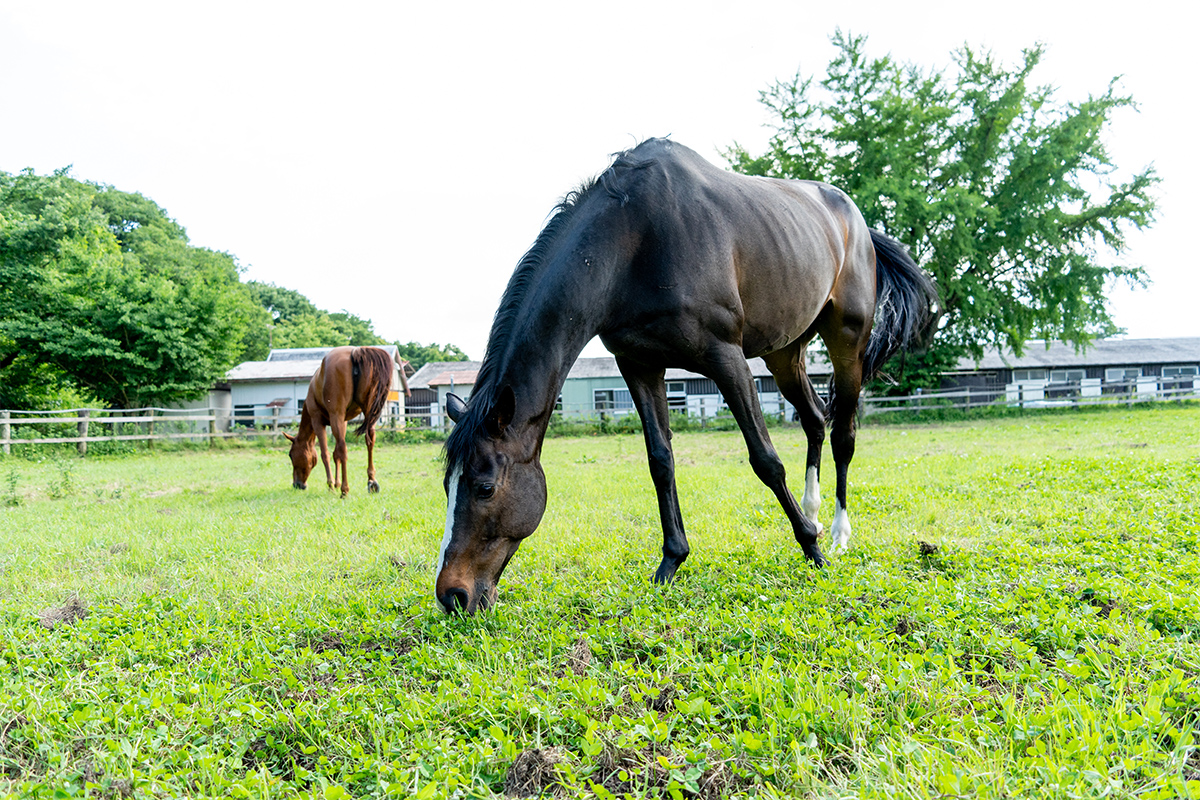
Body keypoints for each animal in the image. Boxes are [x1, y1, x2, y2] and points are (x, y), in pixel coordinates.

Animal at [283, 347, 410, 496]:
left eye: (291, 455)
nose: (297, 485)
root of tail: (355, 352)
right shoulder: (342, 422)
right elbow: (335, 453)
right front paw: (336, 483)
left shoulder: (318, 421)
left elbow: (326, 454)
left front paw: (331, 485)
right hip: (368, 413)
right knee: (369, 441)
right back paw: (371, 481)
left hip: (337, 416)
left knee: (343, 449)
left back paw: (345, 489)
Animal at [434, 140, 936, 614]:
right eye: (446, 486)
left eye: (484, 487)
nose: (451, 595)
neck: (633, 241)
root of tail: (858, 224)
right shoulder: (638, 364)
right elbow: (661, 461)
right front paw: (670, 563)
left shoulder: (726, 358)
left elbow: (766, 460)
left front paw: (811, 549)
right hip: (784, 352)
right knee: (814, 418)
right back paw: (811, 510)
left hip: (846, 342)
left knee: (843, 434)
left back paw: (834, 533)